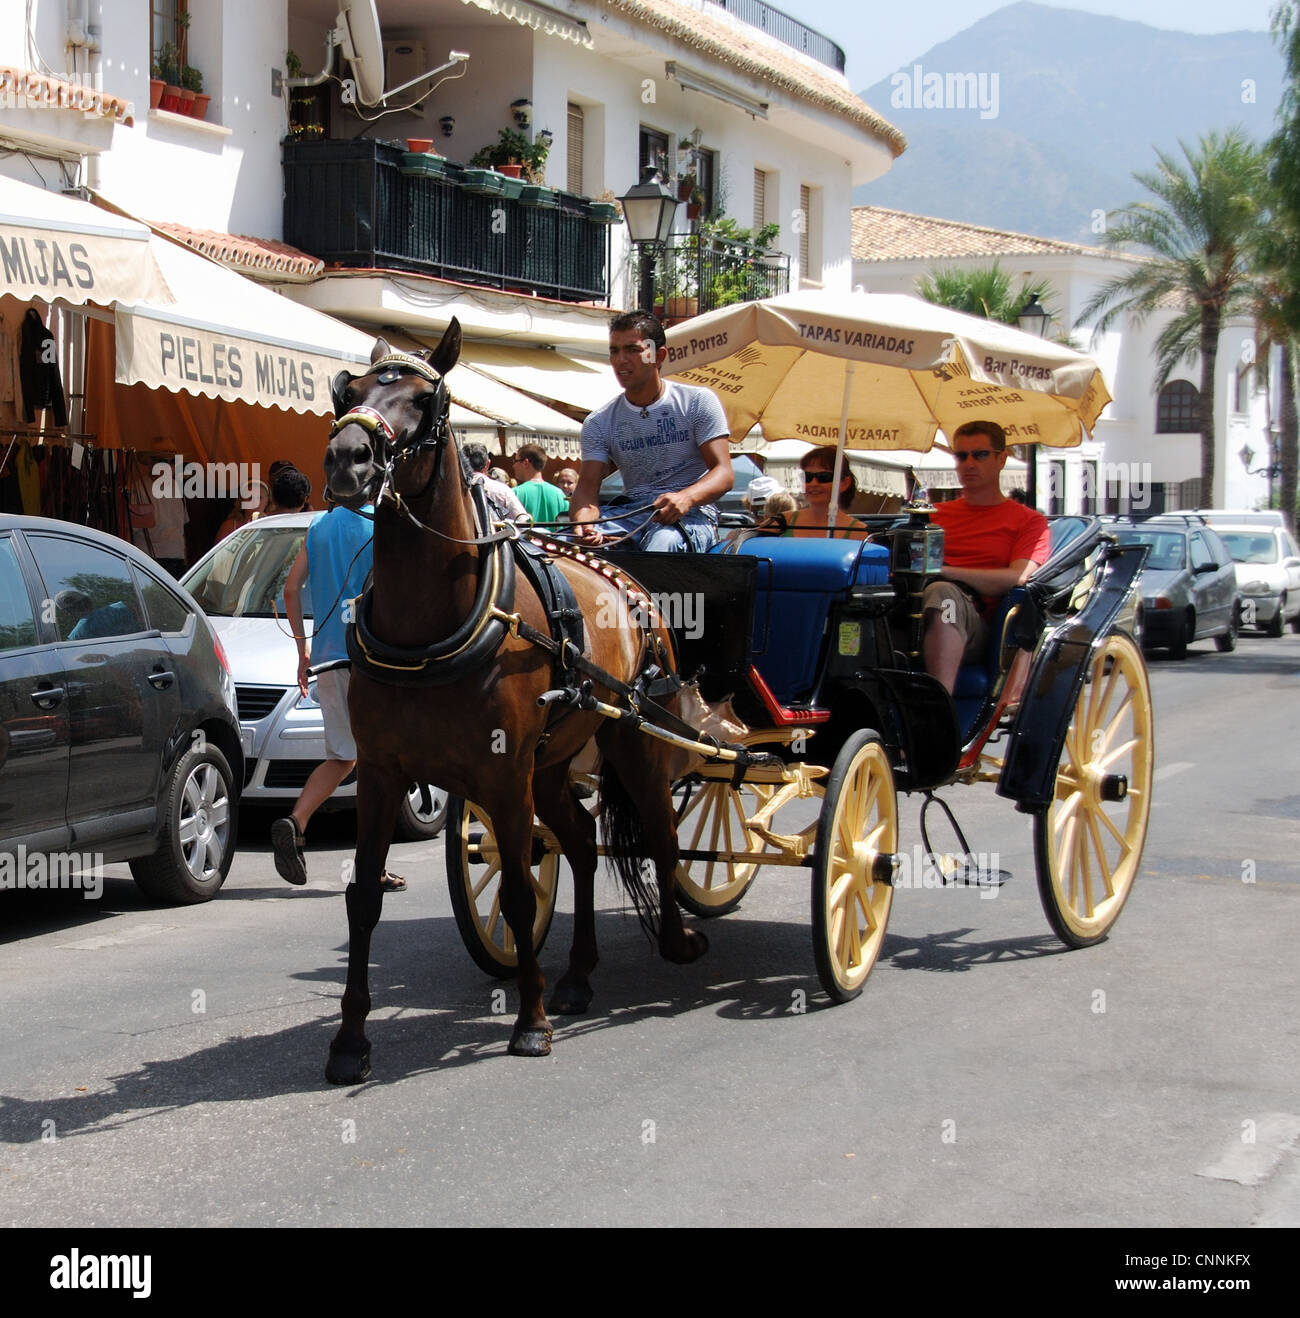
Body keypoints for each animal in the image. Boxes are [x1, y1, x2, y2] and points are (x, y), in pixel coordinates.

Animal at [317, 321, 706, 1080]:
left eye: (427, 401)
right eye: (348, 391)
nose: (348, 458)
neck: (429, 626)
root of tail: (623, 575)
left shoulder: (501, 775)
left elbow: (523, 892)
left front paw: (530, 1022)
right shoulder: (381, 774)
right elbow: (364, 897)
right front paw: (350, 1040)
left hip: (631, 740)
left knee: (661, 835)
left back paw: (676, 939)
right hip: (550, 765)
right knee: (580, 843)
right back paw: (579, 973)